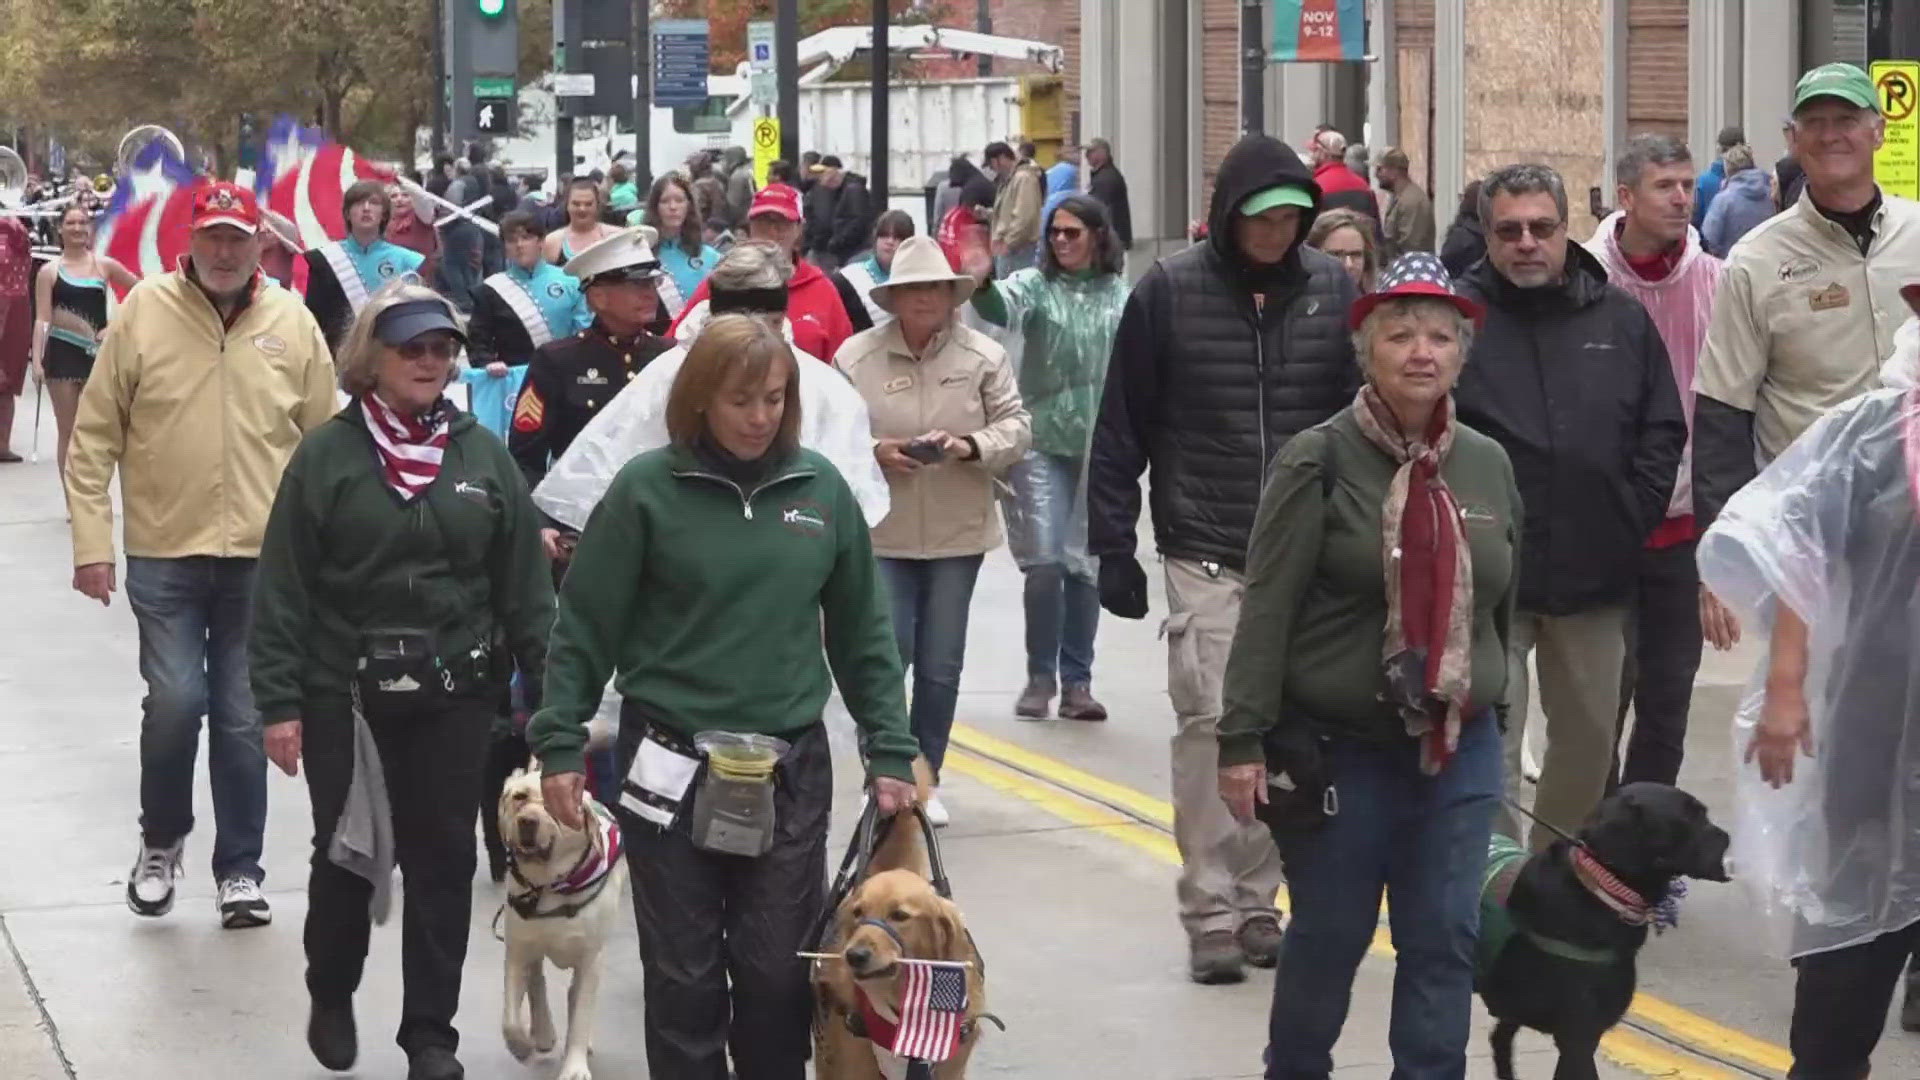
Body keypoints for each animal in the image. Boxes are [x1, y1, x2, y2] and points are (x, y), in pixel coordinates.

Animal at [495, 760, 622, 1076]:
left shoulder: (590, 959)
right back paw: (542, 1033)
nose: (527, 821)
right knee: (537, 982)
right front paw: (521, 1045)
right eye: (520, 797)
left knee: (574, 996)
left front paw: (574, 1066)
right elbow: (510, 1019)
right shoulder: (517, 949)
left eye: (553, 804)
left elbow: (581, 1015)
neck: (550, 885)